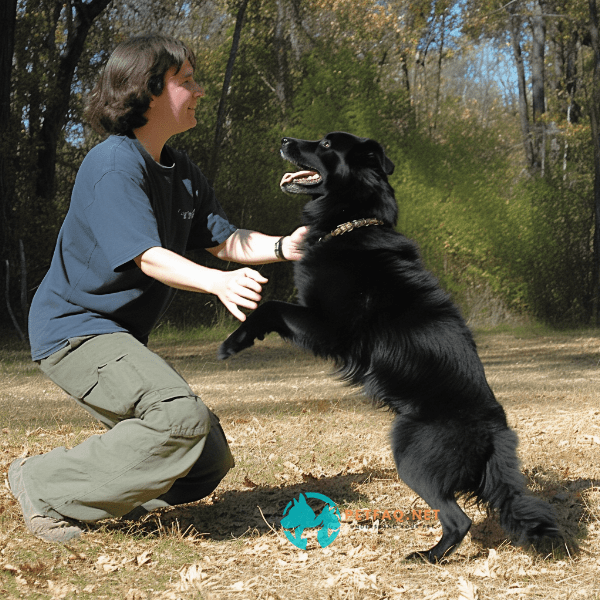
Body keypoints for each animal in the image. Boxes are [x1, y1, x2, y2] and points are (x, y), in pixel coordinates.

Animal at [218, 131, 560, 564]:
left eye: (326, 144)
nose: (285, 139)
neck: (352, 224)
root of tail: (494, 430)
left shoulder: (329, 328)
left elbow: (269, 307)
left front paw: (235, 341)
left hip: (409, 452)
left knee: (458, 519)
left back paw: (428, 556)